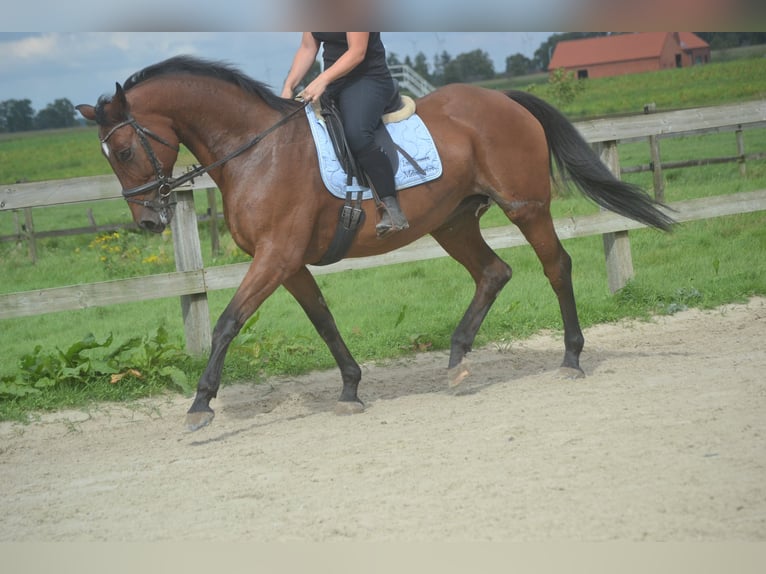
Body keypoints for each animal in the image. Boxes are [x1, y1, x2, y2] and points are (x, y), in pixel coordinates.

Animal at [75, 55, 676, 432]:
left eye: (123, 151)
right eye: (108, 156)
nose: (148, 221)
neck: (256, 151)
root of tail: (504, 100)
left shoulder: (275, 257)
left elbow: (227, 322)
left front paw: (201, 403)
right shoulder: (289, 263)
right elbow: (323, 321)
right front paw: (350, 388)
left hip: (525, 207)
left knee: (556, 266)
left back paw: (571, 358)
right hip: (452, 222)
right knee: (493, 273)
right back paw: (456, 361)